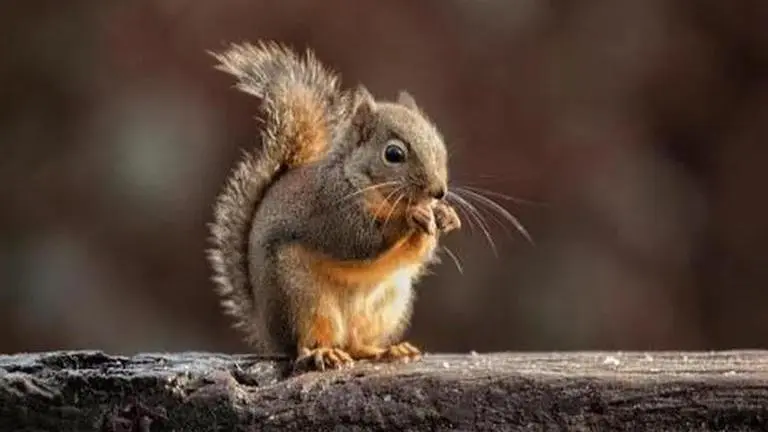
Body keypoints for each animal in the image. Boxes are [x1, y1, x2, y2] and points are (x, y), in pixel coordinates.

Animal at [206, 41, 461, 371]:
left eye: (439, 145)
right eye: (393, 154)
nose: (439, 192)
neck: (361, 182)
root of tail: (268, 332)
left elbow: (415, 254)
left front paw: (444, 216)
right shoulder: (330, 208)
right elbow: (359, 241)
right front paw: (411, 217)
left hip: (388, 305)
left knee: (356, 344)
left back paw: (387, 350)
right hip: (302, 298)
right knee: (305, 344)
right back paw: (323, 353)